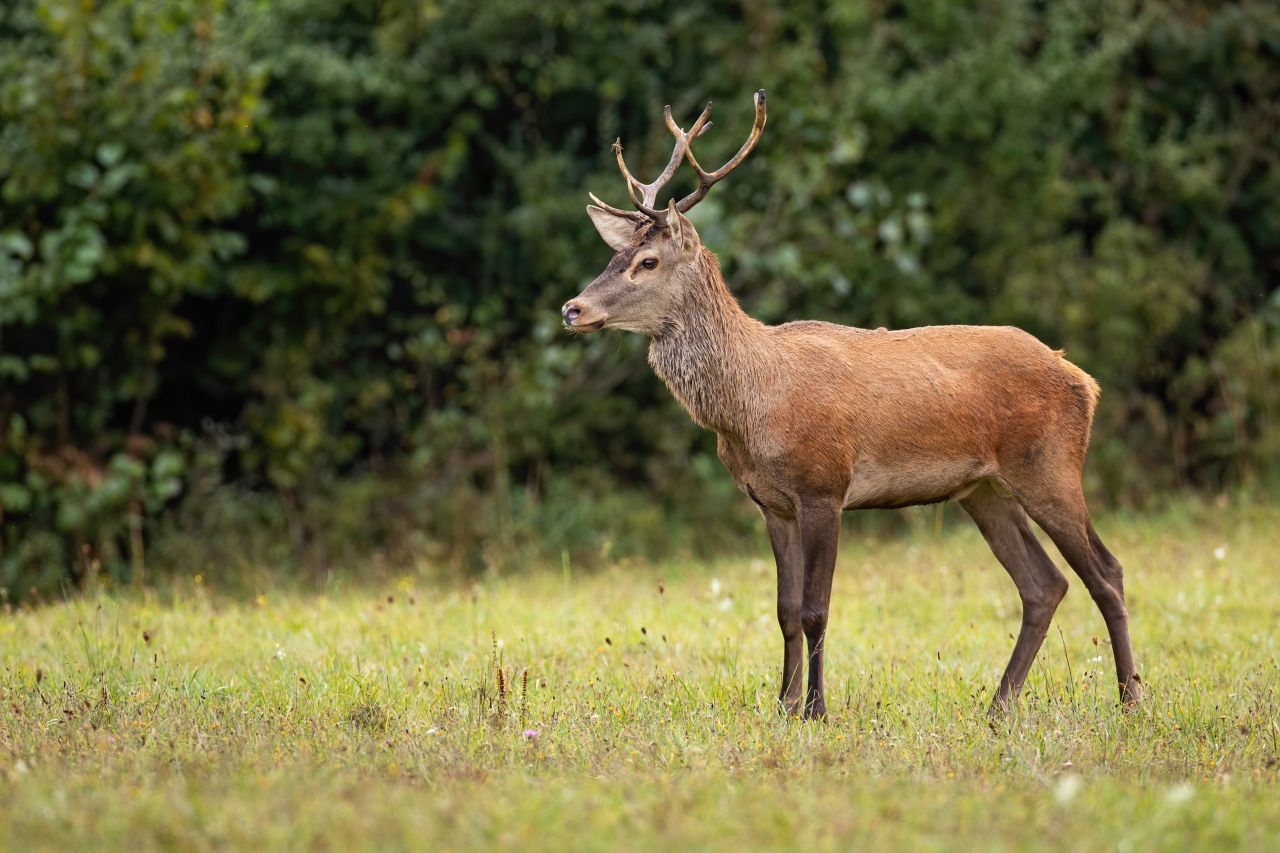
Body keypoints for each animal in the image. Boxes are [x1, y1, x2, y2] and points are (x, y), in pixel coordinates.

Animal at [561, 90, 1142, 719]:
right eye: (614, 258)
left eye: (647, 263)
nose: (572, 308)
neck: (750, 408)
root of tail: (1084, 380)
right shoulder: (771, 503)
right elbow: (784, 611)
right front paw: (783, 707)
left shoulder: (824, 485)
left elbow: (816, 608)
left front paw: (816, 710)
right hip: (983, 489)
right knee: (1044, 584)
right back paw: (998, 707)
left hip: (1049, 465)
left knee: (1106, 571)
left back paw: (1129, 700)